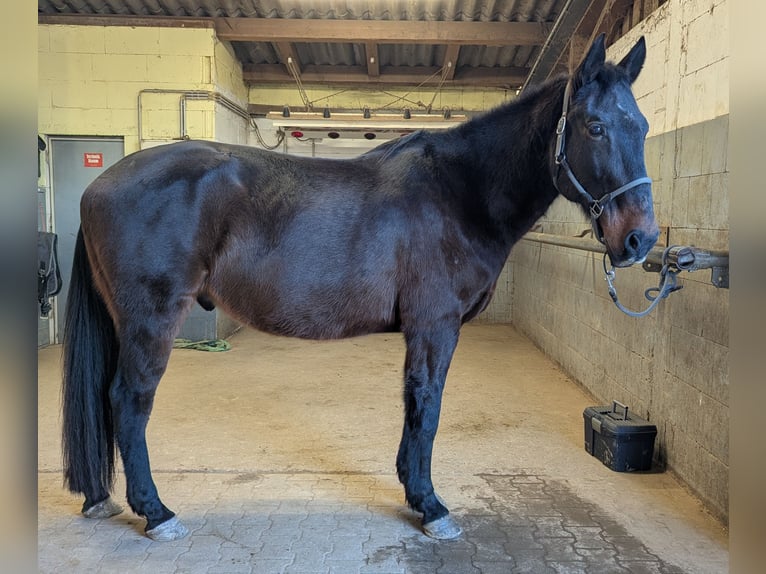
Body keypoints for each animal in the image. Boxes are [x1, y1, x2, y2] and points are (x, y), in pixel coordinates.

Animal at [61, 34, 658, 542]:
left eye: (644, 126)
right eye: (594, 126)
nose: (640, 239)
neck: (460, 191)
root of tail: (97, 186)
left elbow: (415, 406)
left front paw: (415, 492)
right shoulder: (434, 327)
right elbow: (427, 406)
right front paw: (431, 506)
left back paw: (103, 499)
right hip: (151, 320)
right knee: (129, 401)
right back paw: (157, 513)